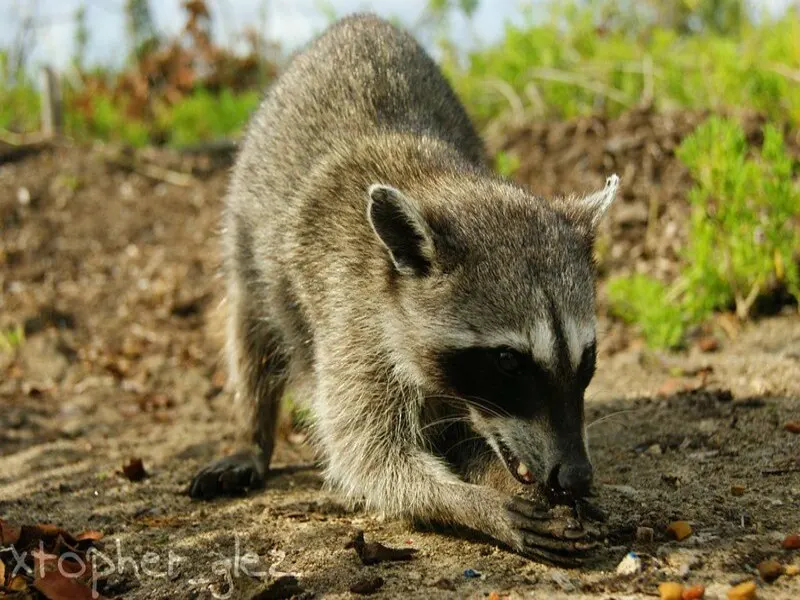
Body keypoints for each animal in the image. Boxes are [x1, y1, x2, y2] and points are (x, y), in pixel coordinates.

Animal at [189, 14, 620, 564]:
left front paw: (502, 483)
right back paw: (253, 434)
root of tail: (359, 21)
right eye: (508, 361)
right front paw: (473, 503)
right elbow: (369, 455)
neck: (435, 182)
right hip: (246, 227)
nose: (576, 475)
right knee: (252, 332)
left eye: (587, 357)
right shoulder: (352, 321)